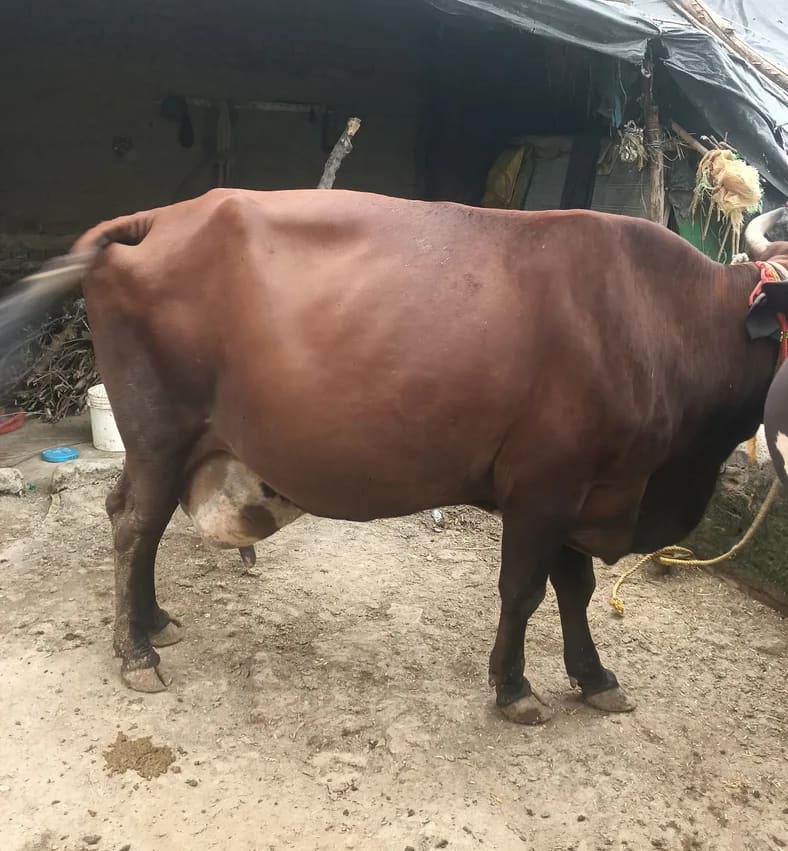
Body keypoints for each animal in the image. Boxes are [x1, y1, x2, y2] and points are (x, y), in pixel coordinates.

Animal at [2, 190, 787, 726]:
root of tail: (158, 218)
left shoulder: (584, 489)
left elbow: (576, 590)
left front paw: (593, 677)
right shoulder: (543, 486)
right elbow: (524, 591)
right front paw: (514, 687)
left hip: (167, 443)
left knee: (138, 522)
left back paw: (153, 620)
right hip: (159, 430)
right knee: (134, 524)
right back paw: (135, 652)